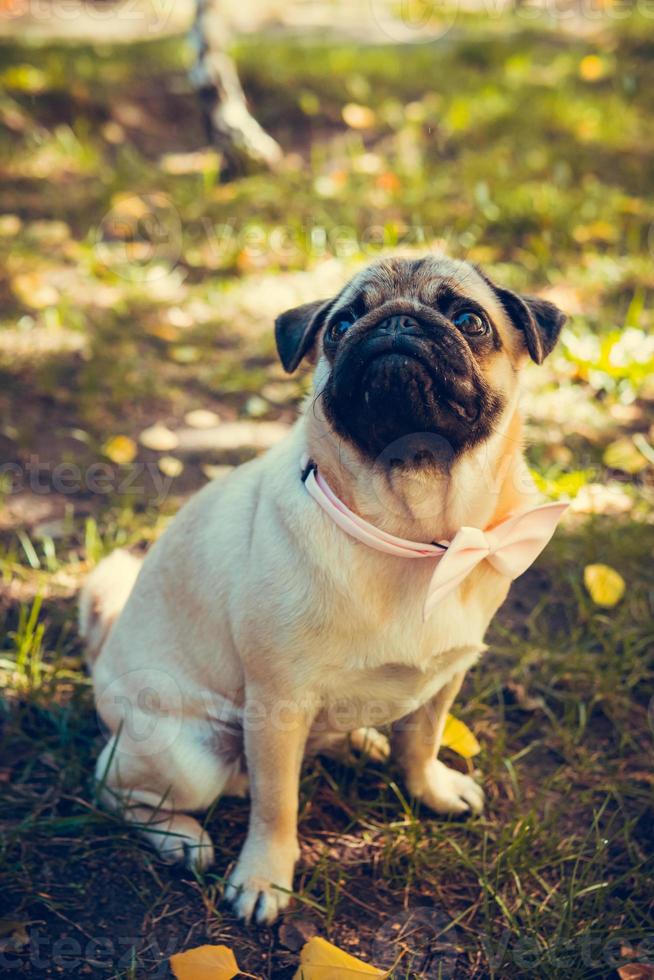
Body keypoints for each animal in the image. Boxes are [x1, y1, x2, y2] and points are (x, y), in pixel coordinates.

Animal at [79, 255, 568, 928]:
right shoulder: (278, 706)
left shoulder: (447, 677)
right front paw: (264, 879)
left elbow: (422, 741)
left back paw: (360, 740)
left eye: (470, 321)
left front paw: (432, 791)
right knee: (112, 786)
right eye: (340, 325)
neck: (413, 534)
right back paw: (181, 839)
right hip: (188, 757)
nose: (398, 321)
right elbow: (276, 804)